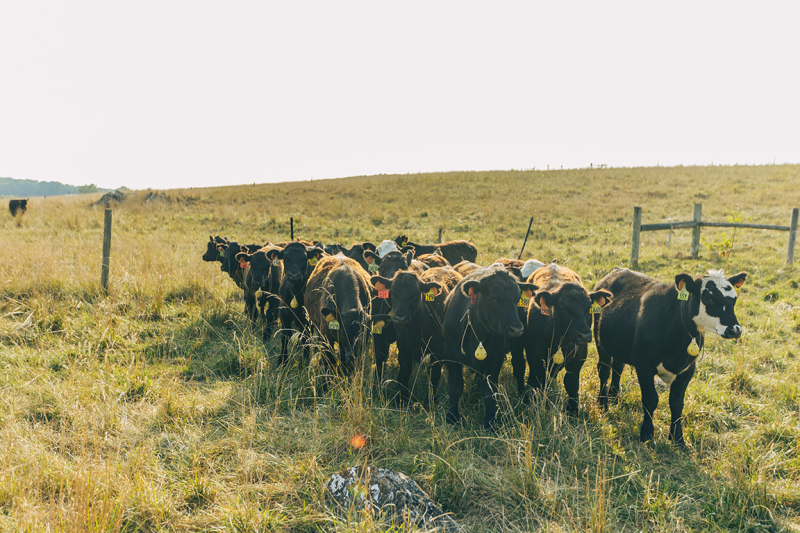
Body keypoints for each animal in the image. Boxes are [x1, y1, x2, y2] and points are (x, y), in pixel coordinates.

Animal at [444, 264, 536, 430]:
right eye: (494, 298)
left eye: (517, 299)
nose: (516, 329)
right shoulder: (450, 355)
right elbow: (455, 387)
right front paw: (452, 417)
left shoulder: (496, 357)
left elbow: (489, 391)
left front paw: (490, 420)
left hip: (517, 347)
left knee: (519, 367)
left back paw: (522, 396)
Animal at [524, 262, 612, 412]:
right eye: (563, 308)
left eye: (588, 308)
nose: (584, 335)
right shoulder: (533, 355)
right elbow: (537, 379)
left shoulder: (579, 356)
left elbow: (571, 383)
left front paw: (573, 409)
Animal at [592, 266, 748, 444]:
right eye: (708, 298)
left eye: (734, 300)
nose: (735, 330)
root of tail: (618, 270)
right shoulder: (644, 365)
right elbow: (651, 399)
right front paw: (646, 434)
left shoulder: (687, 369)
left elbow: (677, 403)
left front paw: (677, 437)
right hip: (600, 342)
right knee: (604, 371)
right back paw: (603, 404)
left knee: (618, 367)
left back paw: (614, 396)